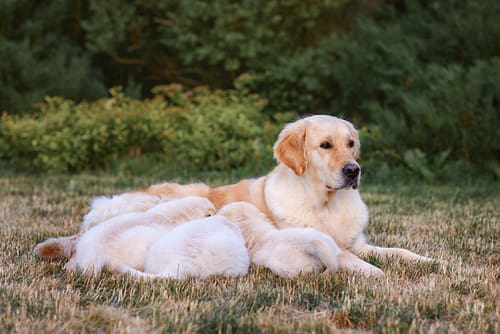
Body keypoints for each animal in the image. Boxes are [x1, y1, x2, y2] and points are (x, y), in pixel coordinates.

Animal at [36, 115, 434, 276]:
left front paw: (432, 261)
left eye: (351, 143)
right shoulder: (330, 244)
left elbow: (399, 251)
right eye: (325, 145)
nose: (353, 170)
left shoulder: (358, 242)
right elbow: (350, 259)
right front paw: (375, 273)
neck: (325, 203)